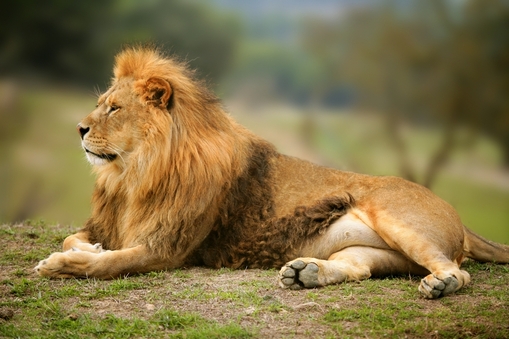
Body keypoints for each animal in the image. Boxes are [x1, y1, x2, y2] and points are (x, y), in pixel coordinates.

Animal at [35, 46, 508, 298]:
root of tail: (455, 214)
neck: (133, 174)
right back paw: (305, 273)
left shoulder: (168, 247)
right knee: (360, 268)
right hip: (375, 252)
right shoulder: (112, 222)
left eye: (114, 108)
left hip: (398, 219)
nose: (79, 128)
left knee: (458, 271)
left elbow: (107, 265)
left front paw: (61, 264)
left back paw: (439, 285)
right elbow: (78, 238)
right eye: (101, 103)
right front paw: (87, 248)